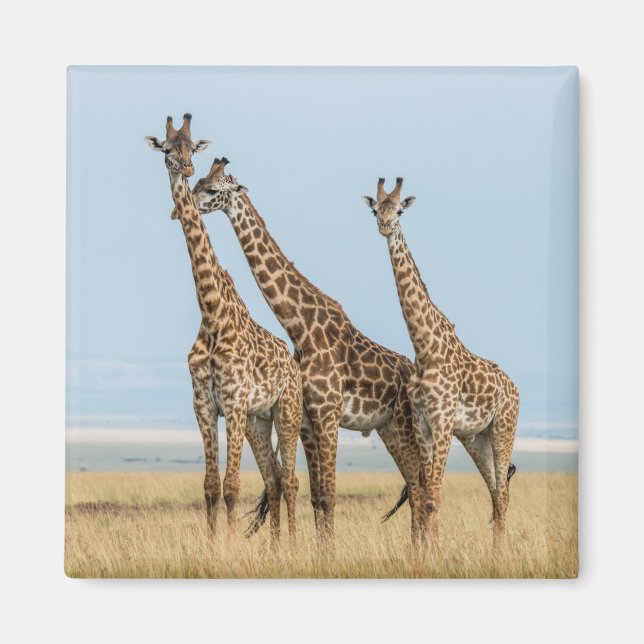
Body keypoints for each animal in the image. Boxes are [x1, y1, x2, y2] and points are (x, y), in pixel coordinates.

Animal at [144, 116, 302, 547]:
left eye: (191, 149)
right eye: (167, 148)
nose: (184, 169)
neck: (212, 313)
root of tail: (294, 364)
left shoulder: (232, 402)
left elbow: (232, 486)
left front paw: (229, 548)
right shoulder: (203, 405)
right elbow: (211, 486)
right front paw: (215, 545)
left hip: (287, 411)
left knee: (292, 479)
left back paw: (294, 546)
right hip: (257, 420)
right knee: (274, 478)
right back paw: (275, 548)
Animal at [191, 158, 426, 548]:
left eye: (211, 189)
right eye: (196, 182)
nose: (187, 205)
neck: (300, 326)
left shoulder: (328, 414)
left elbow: (328, 494)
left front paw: (326, 553)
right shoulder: (307, 420)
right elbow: (315, 495)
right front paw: (318, 551)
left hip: (406, 426)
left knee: (421, 488)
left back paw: (420, 550)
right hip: (387, 428)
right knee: (416, 487)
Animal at [362, 177, 519, 548]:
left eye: (399, 210)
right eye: (376, 210)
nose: (384, 226)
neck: (425, 348)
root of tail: (515, 388)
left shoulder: (443, 421)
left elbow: (433, 495)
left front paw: (434, 551)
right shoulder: (423, 423)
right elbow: (427, 494)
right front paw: (427, 549)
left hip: (504, 428)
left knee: (503, 492)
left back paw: (502, 551)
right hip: (478, 438)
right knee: (496, 491)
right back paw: (495, 551)